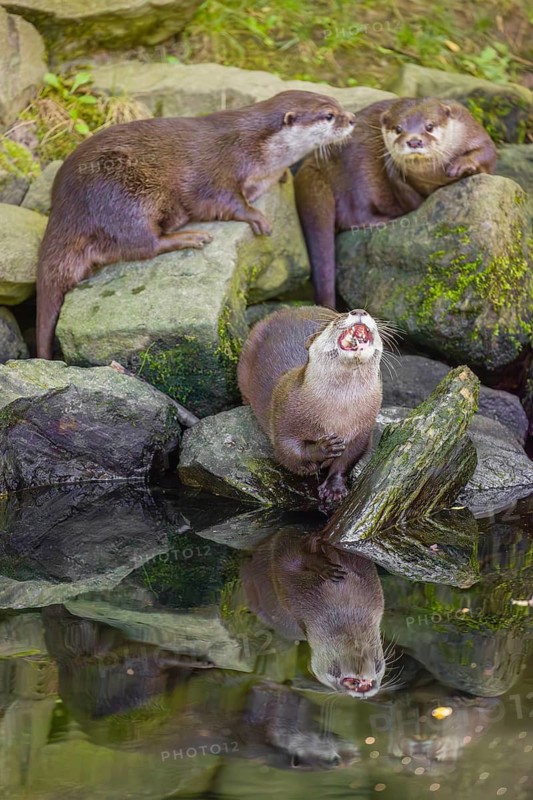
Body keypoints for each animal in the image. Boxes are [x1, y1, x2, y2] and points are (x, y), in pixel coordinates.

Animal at [36, 91, 356, 358]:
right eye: (329, 115)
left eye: (338, 104)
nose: (352, 118)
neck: (257, 148)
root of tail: (63, 212)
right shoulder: (218, 171)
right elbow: (225, 201)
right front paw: (256, 216)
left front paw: (282, 178)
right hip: (126, 195)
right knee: (142, 244)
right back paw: (192, 237)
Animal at [237, 305, 383, 507]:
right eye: (335, 320)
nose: (359, 311)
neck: (339, 413)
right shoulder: (285, 414)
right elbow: (288, 452)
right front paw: (324, 447)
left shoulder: (364, 429)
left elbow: (348, 459)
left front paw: (334, 488)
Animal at [241, 530, 386, 698]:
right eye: (334, 671)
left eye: (378, 666)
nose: (361, 686)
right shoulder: (288, 581)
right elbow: (291, 557)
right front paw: (324, 567)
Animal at [294, 96, 498, 307]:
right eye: (399, 129)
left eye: (429, 126)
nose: (414, 140)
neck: (434, 176)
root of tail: (314, 160)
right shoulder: (396, 175)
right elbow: (410, 198)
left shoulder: (471, 128)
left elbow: (487, 152)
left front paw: (463, 165)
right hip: (357, 169)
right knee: (353, 213)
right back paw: (384, 219)